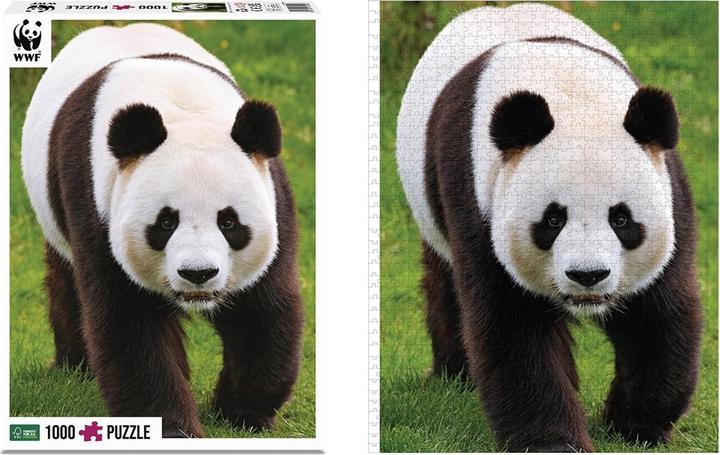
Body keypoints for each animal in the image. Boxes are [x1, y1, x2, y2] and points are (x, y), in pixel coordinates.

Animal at [21, 23, 303, 437]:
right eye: (166, 222)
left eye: (228, 221)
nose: (198, 274)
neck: (181, 107)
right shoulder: (98, 204)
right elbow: (130, 323)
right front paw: (171, 427)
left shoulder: (271, 196)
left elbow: (261, 309)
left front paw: (241, 413)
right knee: (67, 281)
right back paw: (74, 365)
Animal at [396, 3, 701, 452]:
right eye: (553, 219)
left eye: (621, 218)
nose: (588, 275)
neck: (571, 97)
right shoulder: (479, 198)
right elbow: (513, 328)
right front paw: (553, 440)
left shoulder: (667, 191)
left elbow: (656, 314)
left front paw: (635, 426)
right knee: (446, 283)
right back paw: (455, 375)